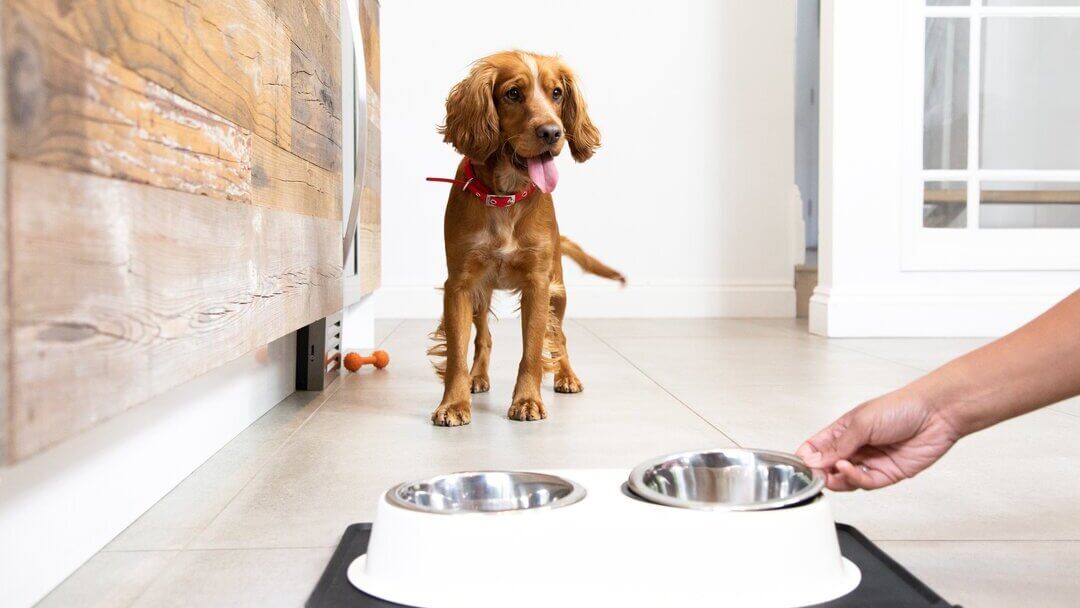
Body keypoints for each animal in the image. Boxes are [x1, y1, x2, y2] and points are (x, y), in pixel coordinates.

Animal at [423, 51, 622, 427]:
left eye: (557, 93)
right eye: (513, 93)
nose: (552, 132)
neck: (506, 198)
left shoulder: (538, 285)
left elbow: (533, 348)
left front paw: (528, 400)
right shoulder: (459, 285)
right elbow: (457, 352)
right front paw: (454, 403)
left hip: (558, 290)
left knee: (560, 337)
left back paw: (566, 376)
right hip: (481, 294)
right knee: (484, 337)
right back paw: (478, 377)